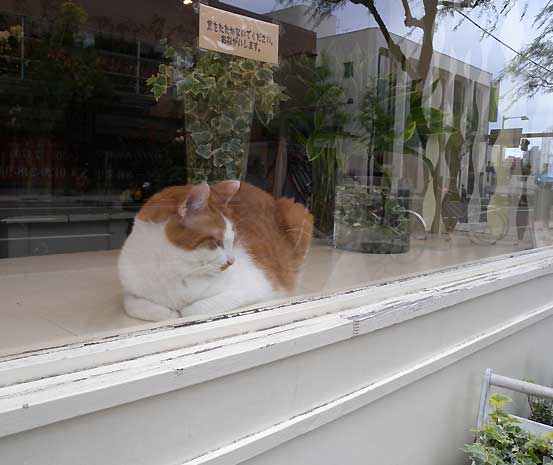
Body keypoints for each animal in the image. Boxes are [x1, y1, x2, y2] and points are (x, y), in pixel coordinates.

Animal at [118, 180, 313, 322]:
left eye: (233, 239)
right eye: (217, 242)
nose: (232, 261)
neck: (172, 269)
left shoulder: (256, 287)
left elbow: (191, 310)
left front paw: (179, 312)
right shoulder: (130, 289)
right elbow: (133, 305)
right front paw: (168, 312)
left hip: (296, 213)